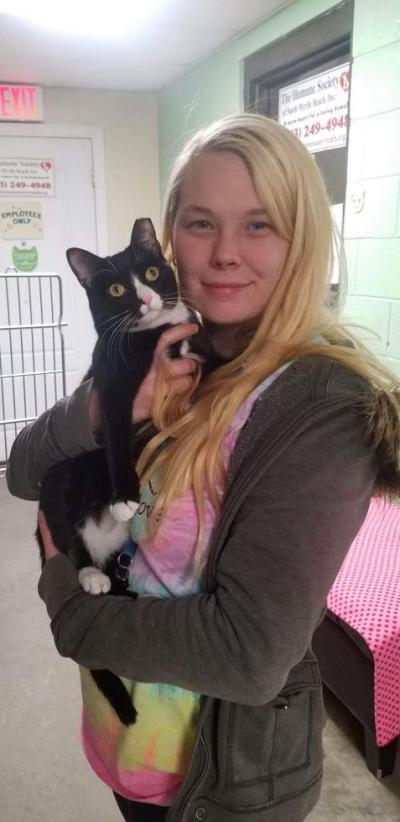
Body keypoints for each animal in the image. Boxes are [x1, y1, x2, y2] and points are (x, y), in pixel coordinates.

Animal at [36, 219, 225, 728]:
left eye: (153, 271)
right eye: (117, 289)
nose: (144, 298)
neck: (157, 334)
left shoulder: (196, 352)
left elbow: (219, 368)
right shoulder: (114, 383)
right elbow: (120, 438)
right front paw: (124, 494)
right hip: (58, 486)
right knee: (65, 537)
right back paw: (90, 574)